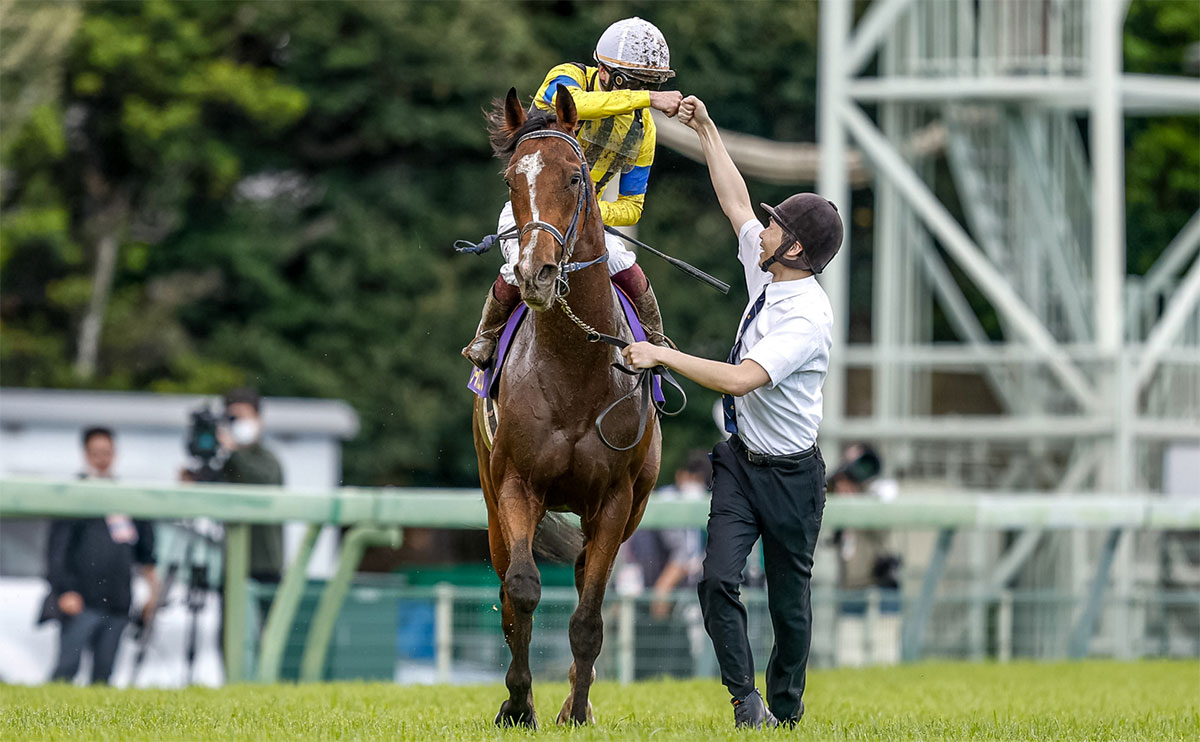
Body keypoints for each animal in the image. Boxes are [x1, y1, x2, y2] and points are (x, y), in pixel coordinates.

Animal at [475, 85, 667, 720]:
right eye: (513, 177)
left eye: (576, 177)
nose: (535, 273)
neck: (573, 373)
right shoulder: (516, 484)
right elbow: (521, 591)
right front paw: (518, 705)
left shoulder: (614, 500)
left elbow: (588, 615)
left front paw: (576, 710)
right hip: (491, 498)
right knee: (508, 585)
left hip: (633, 506)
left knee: (587, 579)